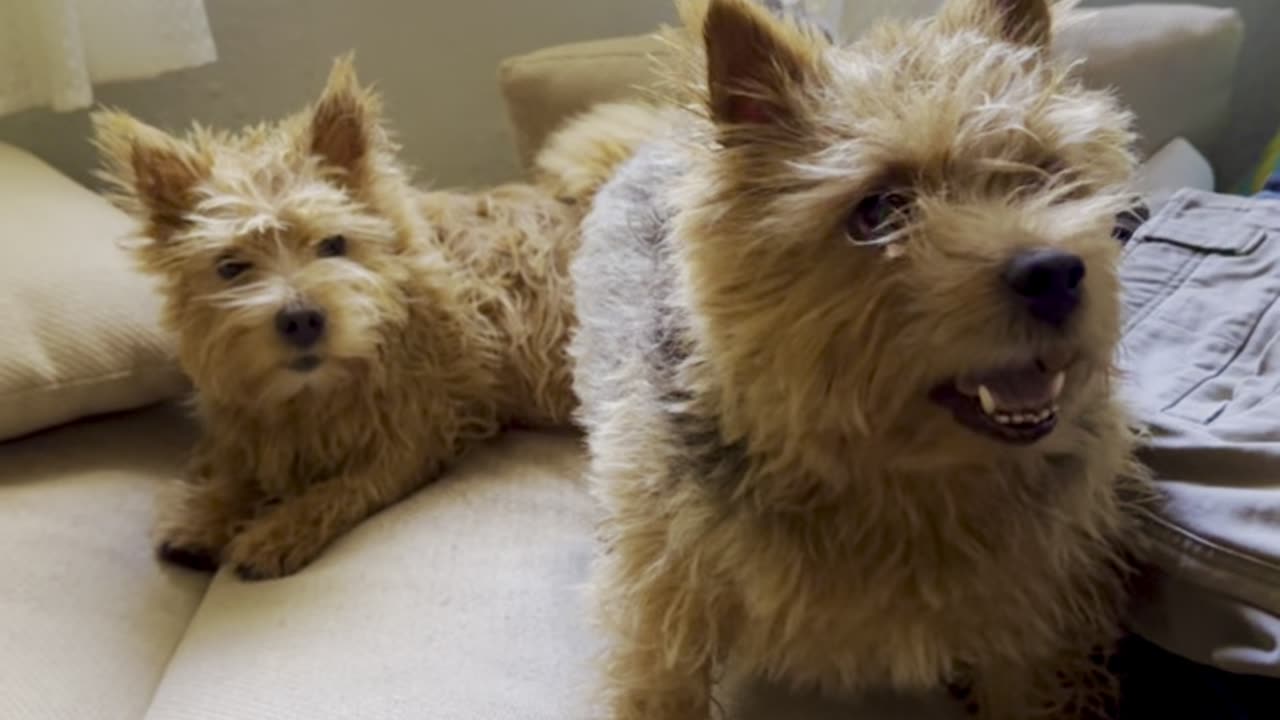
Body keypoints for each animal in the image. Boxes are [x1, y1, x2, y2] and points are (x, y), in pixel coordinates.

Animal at [565, 0, 1157, 712]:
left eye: (1044, 172)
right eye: (878, 210)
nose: (1055, 274)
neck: (900, 483)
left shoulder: (1031, 614)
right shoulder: (667, 600)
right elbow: (661, 680)